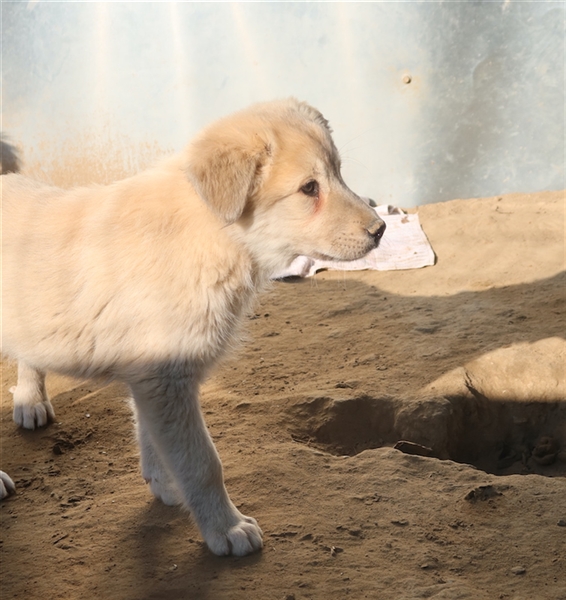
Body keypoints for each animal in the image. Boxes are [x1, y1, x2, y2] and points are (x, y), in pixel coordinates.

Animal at [1, 99, 385, 554]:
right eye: (309, 188)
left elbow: (154, 440)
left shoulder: (151, 376)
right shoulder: (166, 377)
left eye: (338, 172)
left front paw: (166, 486)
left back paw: (30, 399)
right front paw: (227, 529)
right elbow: (203, 462)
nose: (381, 229)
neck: (211, 231)